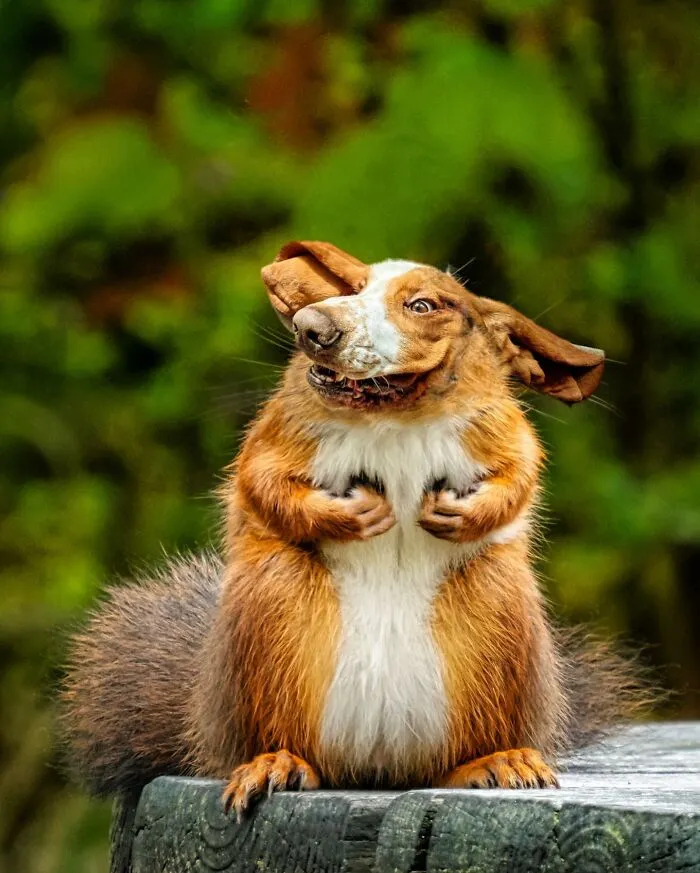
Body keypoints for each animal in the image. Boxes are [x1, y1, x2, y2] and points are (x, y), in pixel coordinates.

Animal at [62, 241, 648, 819]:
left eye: (423, 305)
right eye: (353, 288)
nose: (312, 326)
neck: (394, 418)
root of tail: (378, 766)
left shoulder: (504, 430)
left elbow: (521, 475)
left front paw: (464, 515)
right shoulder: (280, 430)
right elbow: (260, 479)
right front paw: (355, 516)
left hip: (495, 629)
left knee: (446, 763)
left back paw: (495, 761)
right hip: (272, 628)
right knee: (294, 745)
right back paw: (276, 763)